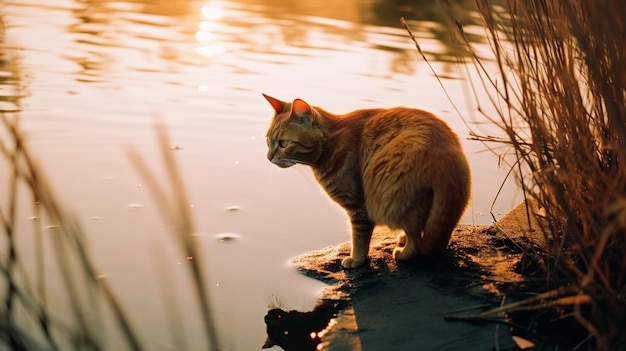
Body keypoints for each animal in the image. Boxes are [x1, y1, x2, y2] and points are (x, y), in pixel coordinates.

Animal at [262, 95, 468, 268]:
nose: (268, 157)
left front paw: (357, 260)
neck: (331, 145)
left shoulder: (359, 207)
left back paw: (403, 253)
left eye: (283, 144)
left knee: (416, 238)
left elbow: (359, 238)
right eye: (267, 141)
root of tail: (445, 156)